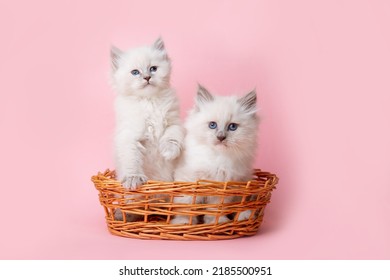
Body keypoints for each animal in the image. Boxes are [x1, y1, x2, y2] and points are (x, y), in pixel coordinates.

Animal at [111, 37, 184, 190]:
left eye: (153, 69)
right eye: (135, 72)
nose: (147, 77)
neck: (150, 101)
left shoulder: (174, 123)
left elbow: (171, 137)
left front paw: (168, 152)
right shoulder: (129, 136)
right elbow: (132, 160)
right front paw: (133, 179)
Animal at [171, 84, 258, 224]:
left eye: (232, 127)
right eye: (212, 125)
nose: (221, 137)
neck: (217, 158)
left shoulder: (224, 187)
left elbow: (216, 209)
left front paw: (217, 222)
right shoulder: (189, 179)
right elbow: (186, 205)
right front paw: (183, 222)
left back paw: (244, 216)